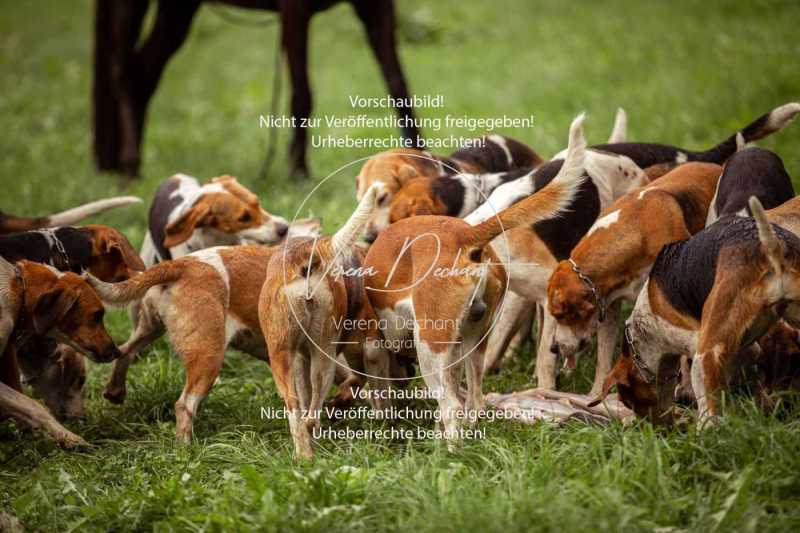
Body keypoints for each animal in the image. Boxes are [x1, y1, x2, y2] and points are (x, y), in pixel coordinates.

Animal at [92, 0, 418, 179]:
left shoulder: (376, 5)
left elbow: (399, 86)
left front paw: (418, 158)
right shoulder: (294, 8)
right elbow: (302, 93)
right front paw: (299, 173)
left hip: (178, 10)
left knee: (140, 76)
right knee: (123, 73)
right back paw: (129, 169)